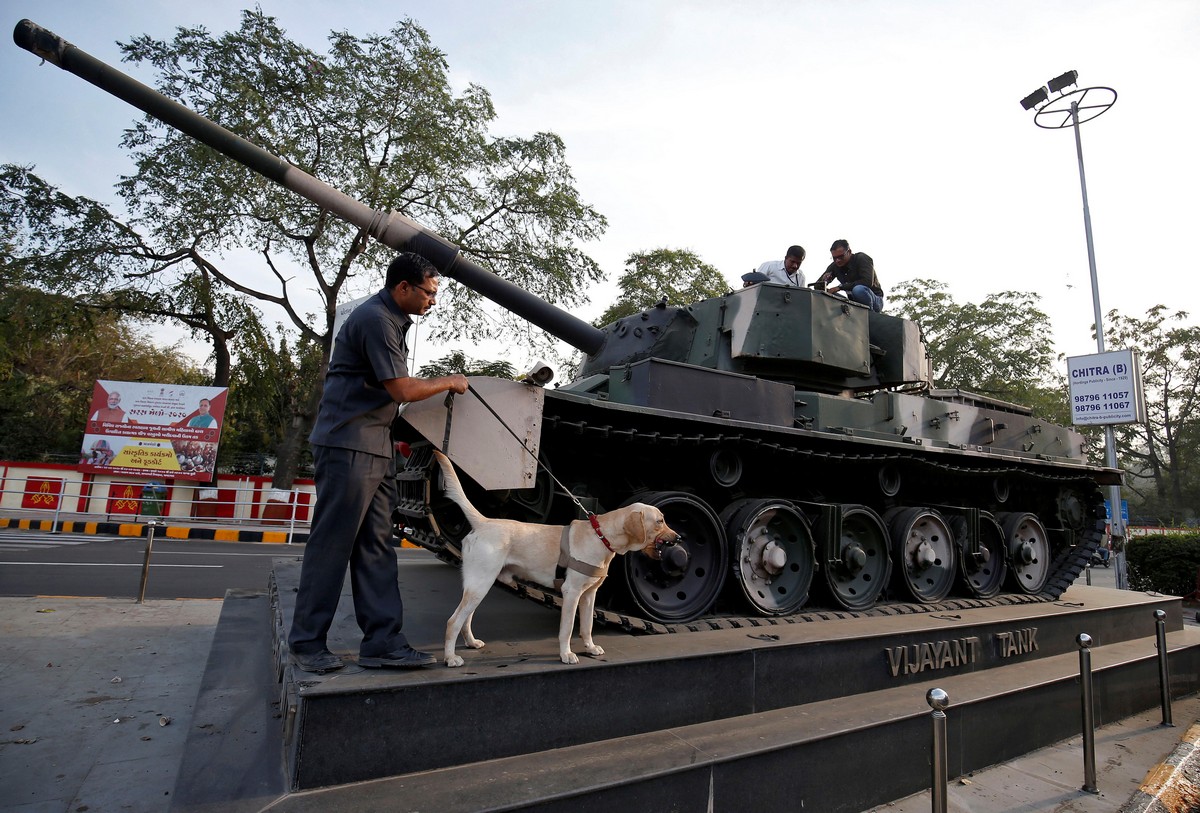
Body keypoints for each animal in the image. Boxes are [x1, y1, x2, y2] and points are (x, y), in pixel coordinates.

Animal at [432, 448, 681, 666]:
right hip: (480, 584)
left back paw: (471, 642)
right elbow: (568, 629)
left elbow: (587, 626)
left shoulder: (589, 594)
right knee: (453, 621)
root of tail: (484, 522)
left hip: (479, 585)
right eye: (660, 521)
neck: (600, 536)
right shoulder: (571, 593)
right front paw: (566, 654)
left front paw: (590, 647)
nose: (678, 537)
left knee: (466, 618)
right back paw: (450, 658)